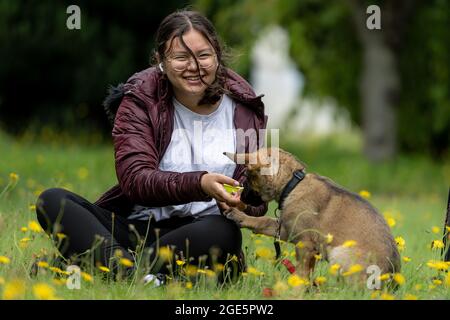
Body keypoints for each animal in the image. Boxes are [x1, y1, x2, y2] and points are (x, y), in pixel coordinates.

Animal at [224, 148, 400, 280]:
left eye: (247, 175)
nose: (241, 197)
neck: (293, 185)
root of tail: (390, 283)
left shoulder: (305, 244)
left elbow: (302, 274)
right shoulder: (286, 230)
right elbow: (264, 221)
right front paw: (240, 216)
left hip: (340, 253)